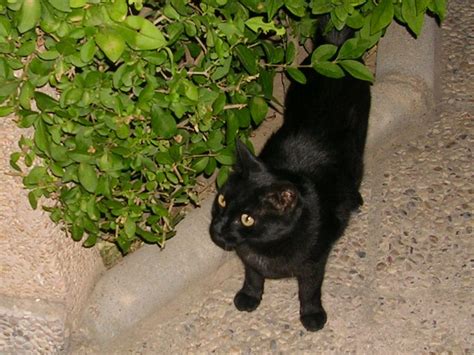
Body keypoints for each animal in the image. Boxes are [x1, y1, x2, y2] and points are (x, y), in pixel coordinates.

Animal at [210, 25, 370, 334]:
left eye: (247, 218)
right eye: (222, 200)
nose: (218, 229)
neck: (263, 246)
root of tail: (334, 48)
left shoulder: (314, 262)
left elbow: (309, 289)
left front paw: (312, 315)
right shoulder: (249, 260)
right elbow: (253, 275)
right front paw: (249, 296)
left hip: (358, 138)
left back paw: (354, 199)